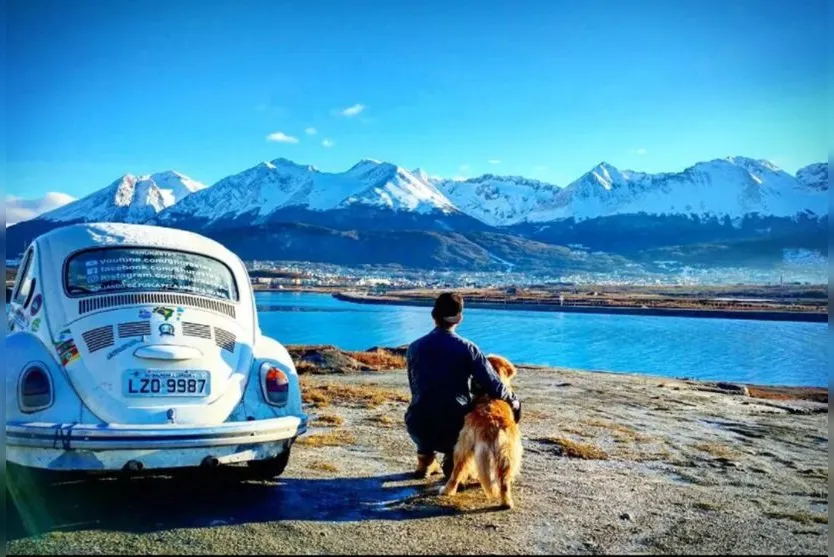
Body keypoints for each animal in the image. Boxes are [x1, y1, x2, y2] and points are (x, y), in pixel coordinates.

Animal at [436, 356, 520, 508]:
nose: (472, 382)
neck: (489, 394)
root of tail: (491, 421)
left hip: (467, 446)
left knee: (457, 471)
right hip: (502, 451)